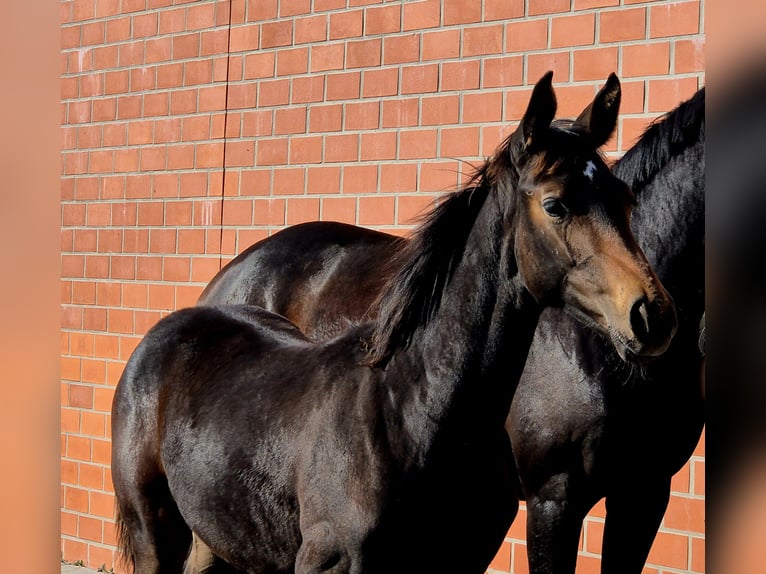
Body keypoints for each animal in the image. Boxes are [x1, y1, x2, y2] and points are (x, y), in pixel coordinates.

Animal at [111, 71, 678, 574]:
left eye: (625, 199)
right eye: (555, 204)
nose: (652, 314)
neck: (410, 408)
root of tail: (171, 326)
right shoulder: (333, 563)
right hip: (153, 531)